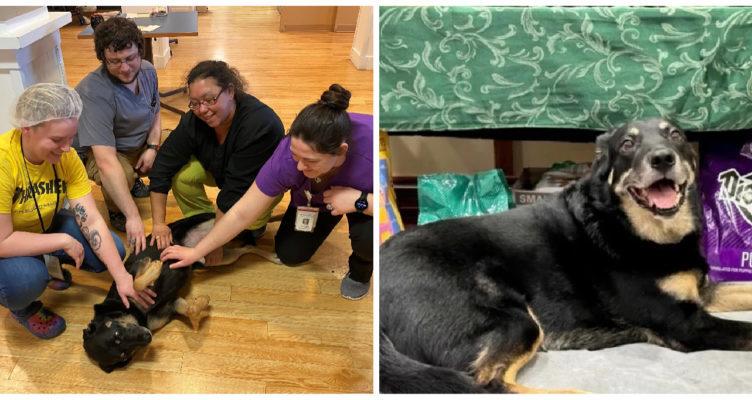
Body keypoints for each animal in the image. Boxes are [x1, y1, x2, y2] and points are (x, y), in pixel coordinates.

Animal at [83, 212, 280, 372]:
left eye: (117, 334)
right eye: (124, 354)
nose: (148, 336)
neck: (135, 314)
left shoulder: (130, 274)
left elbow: (137, 283)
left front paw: (153, 268)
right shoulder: (172, 304)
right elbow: (190, 310)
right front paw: (202, 302)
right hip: (216, 256)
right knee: (247, 248)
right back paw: (272, 256)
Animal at [380, 118, 752, 393]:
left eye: (674, 135)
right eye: (627, 144)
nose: (662, 157)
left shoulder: (703, 292)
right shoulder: (686, 322)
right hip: (516, 319)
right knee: (487, 384)